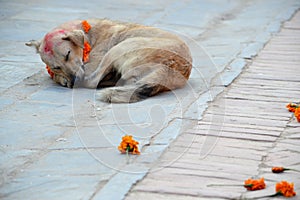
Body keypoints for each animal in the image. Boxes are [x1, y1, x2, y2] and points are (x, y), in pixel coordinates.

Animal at [27, 19, 192, 103]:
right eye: (56, 66)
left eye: (67, 54)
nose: (73, 82)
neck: (87, 36)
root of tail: (168, 69)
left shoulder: (88, 67)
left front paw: (61, 80)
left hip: (118, 48)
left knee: (92, 82)